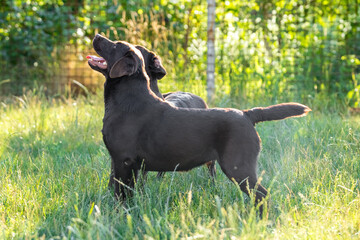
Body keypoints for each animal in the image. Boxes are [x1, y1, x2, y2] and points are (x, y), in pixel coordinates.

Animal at [87, 35, 310, 216]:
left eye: (114, 44)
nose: (97, 35)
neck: (127, 100)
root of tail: (247, 114)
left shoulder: (123, 161)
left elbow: (120, 194)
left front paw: (117, 216)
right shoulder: (128, 164)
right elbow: (128, 192)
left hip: (238, 167)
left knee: (262, 194)